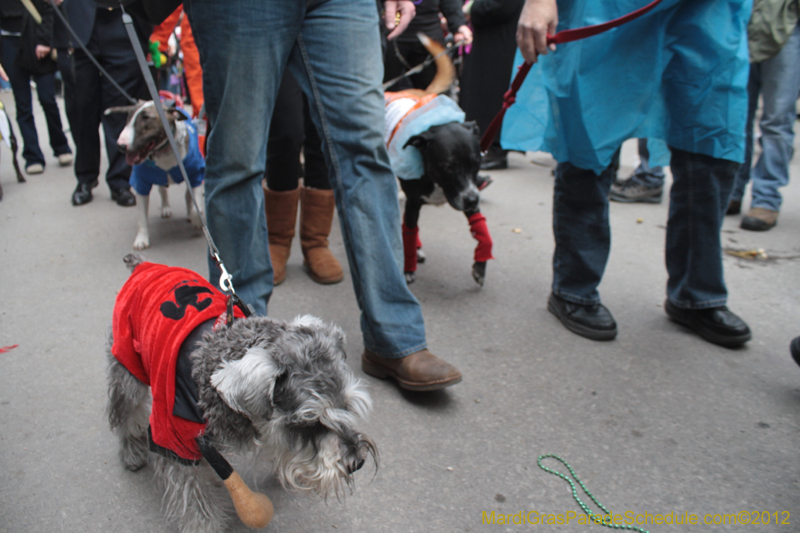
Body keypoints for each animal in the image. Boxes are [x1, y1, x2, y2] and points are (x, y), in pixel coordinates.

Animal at [104, 256, 376, 528]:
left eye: (346, 406)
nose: (357, 462)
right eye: (308, 423)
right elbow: (195, 504)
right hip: (127, 367)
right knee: (126, 412)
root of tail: (144, 265)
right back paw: (132, 452)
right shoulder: (175, 443)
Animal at [106, 100, 205, 249]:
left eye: (146, 118)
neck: (164, 151)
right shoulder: (141, 183)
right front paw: (141, 239)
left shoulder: (196, 174)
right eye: (128, 116)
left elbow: (196, 205)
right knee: (162, 190)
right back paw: (165, 208)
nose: (121, 146)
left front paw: (197, 221)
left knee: (187, 195)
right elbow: (142, 217)